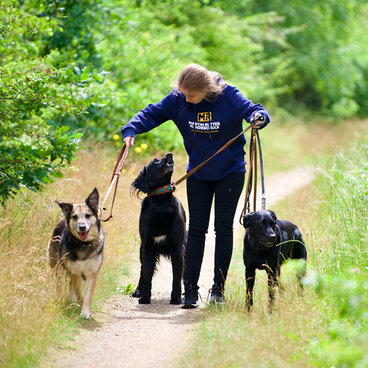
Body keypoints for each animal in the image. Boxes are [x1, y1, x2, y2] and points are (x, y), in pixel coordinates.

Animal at [130, 153, 185, 304]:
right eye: (155, 161)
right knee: (142, 272)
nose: (170, 154)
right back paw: (138, 291)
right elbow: (147, 276)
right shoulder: (148, 248)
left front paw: (176, 298)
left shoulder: (177, 248)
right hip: (141, 250)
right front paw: (144, 297)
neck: (161, 202)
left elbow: (176, 277)